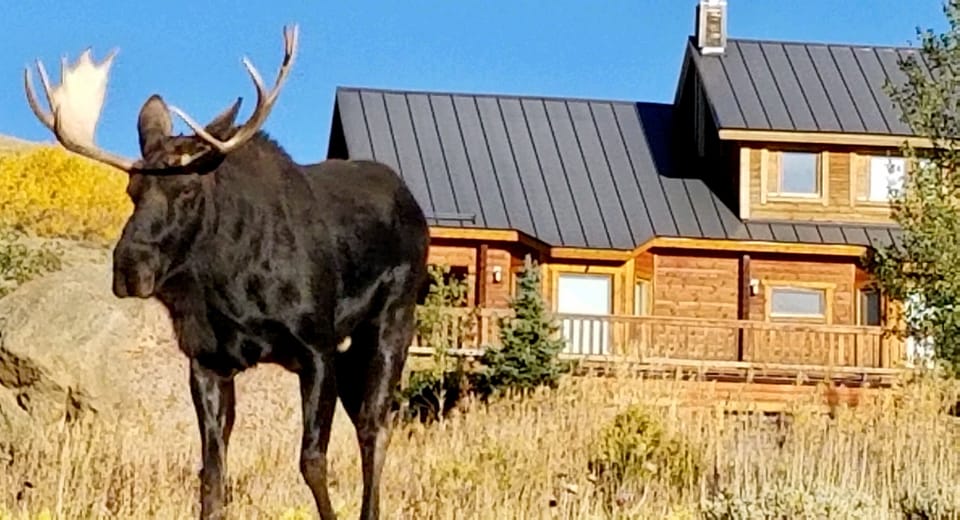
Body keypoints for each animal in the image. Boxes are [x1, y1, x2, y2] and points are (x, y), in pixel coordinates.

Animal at [22, 25, 430, 520]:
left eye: (189, 189)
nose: (128, 268)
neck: (230, 285)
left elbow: (312, 461)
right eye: (132, 190)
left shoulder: (316, 348)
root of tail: (413, 205)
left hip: (393, 321)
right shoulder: (207, 360)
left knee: (375, 427)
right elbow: (212, 474)